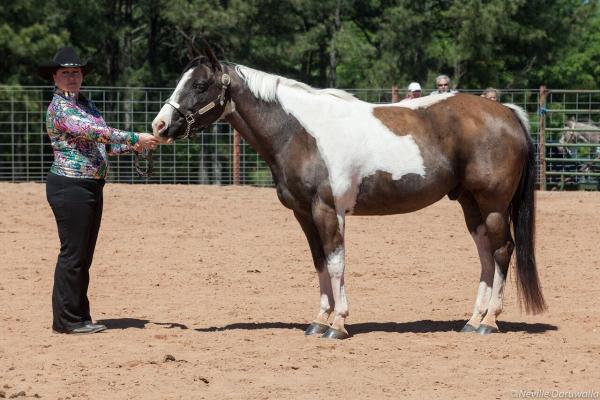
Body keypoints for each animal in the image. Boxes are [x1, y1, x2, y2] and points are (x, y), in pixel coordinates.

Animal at [152, 45, 548, 340]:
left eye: (200, 85)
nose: (159, 126)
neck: (301, 132)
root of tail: (508, 113)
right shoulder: (304, 214)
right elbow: (319, 262)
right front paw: (319, 320)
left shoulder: (329, 210)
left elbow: (336, 261)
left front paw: (338, 324)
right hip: (470, 203)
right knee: (484, 253)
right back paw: (472, 319)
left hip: (493, 204)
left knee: (502, 250)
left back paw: (489, 321)